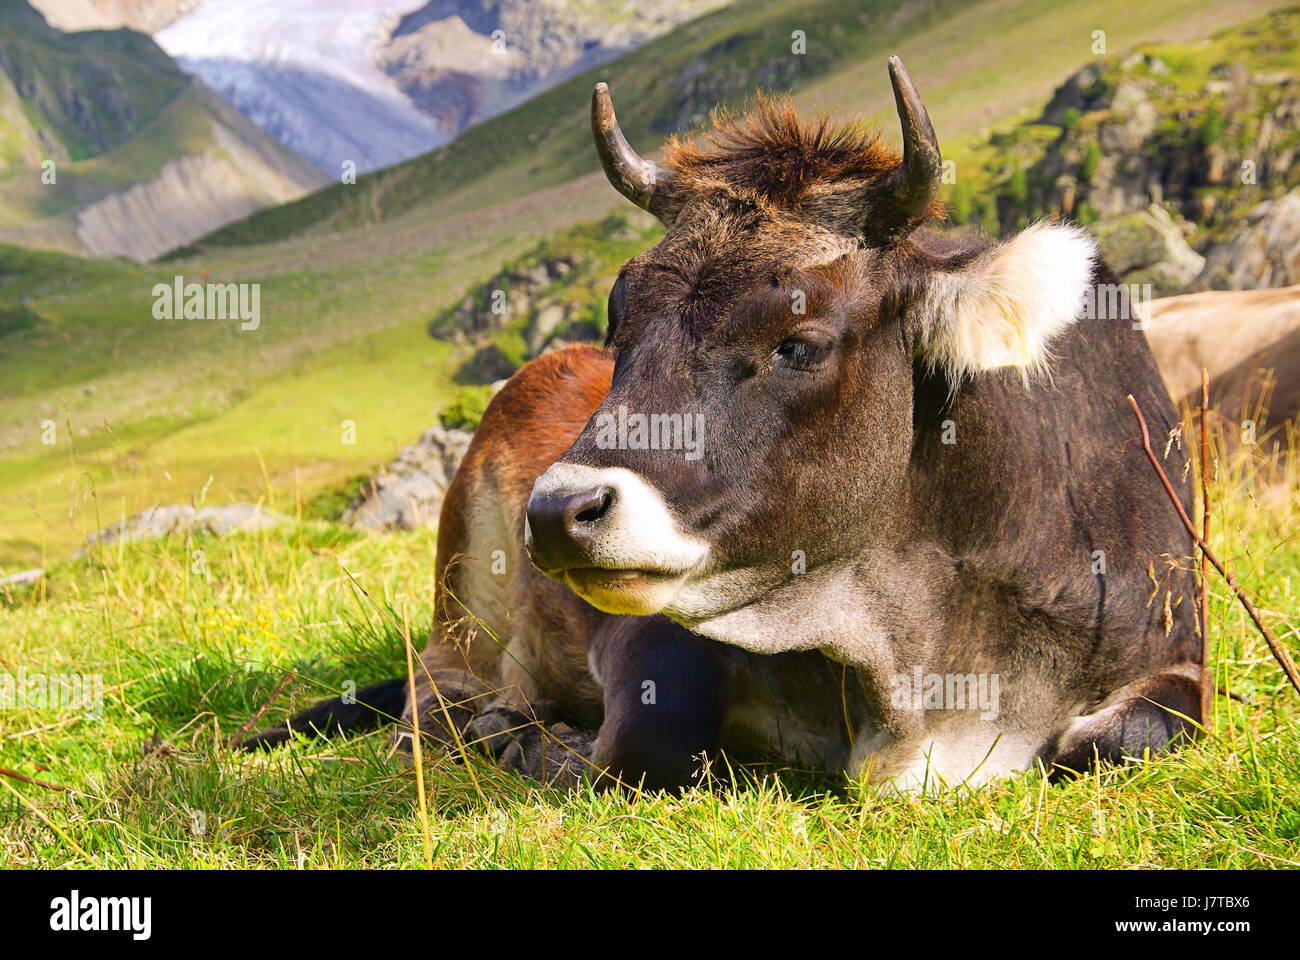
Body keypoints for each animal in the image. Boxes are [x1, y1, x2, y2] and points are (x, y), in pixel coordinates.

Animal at [244, 58, 1202, 792]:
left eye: (801, 341)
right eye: (619, 316)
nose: (556, 512)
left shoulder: (1173, 641)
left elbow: (1133, 735)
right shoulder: (654, 624)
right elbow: (644, 743)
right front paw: (529, 742)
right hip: (463, 603)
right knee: (430, 699)